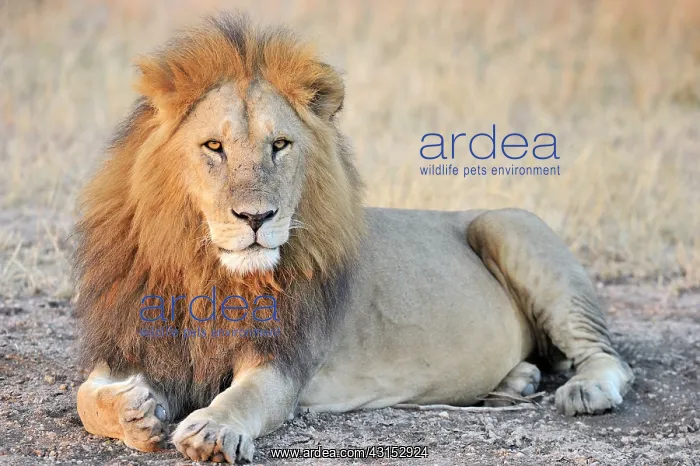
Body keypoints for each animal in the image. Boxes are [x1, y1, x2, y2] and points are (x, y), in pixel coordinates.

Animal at [73, 13, 633, 463]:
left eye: (280, 145)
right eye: (214, 147)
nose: (257, 217)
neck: (203, 270)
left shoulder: (283, 363)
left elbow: (242, 398)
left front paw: (211, 429)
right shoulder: (131, 342)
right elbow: (85, 399)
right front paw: (131, 411)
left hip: (509, 225)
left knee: (609, 356)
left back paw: (586, 391)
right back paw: (517, 380)